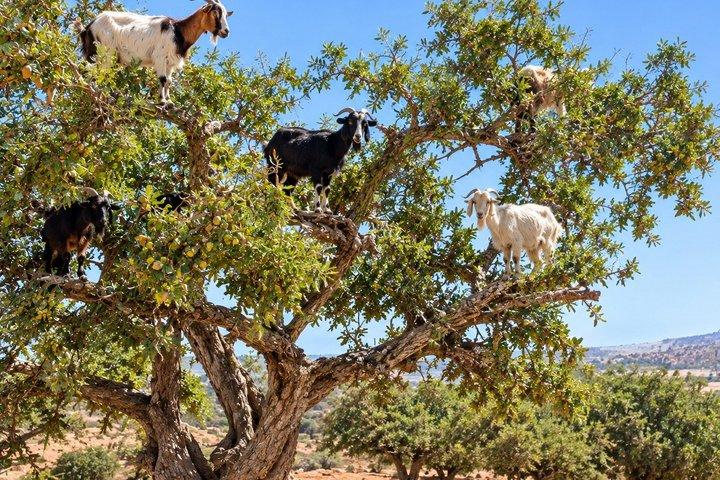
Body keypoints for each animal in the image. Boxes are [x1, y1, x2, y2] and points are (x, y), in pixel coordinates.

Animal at [79, 0, 233, 103]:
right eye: (215, 12)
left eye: (226, 14)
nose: (226, 32)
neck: (178, 30)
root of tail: (89, 26)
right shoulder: (160, 57)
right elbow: (163, 79)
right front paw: (162, 101)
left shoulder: (170, 62)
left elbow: (169, 81)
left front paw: (169, 101)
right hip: (105, 53)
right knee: (97, 72)